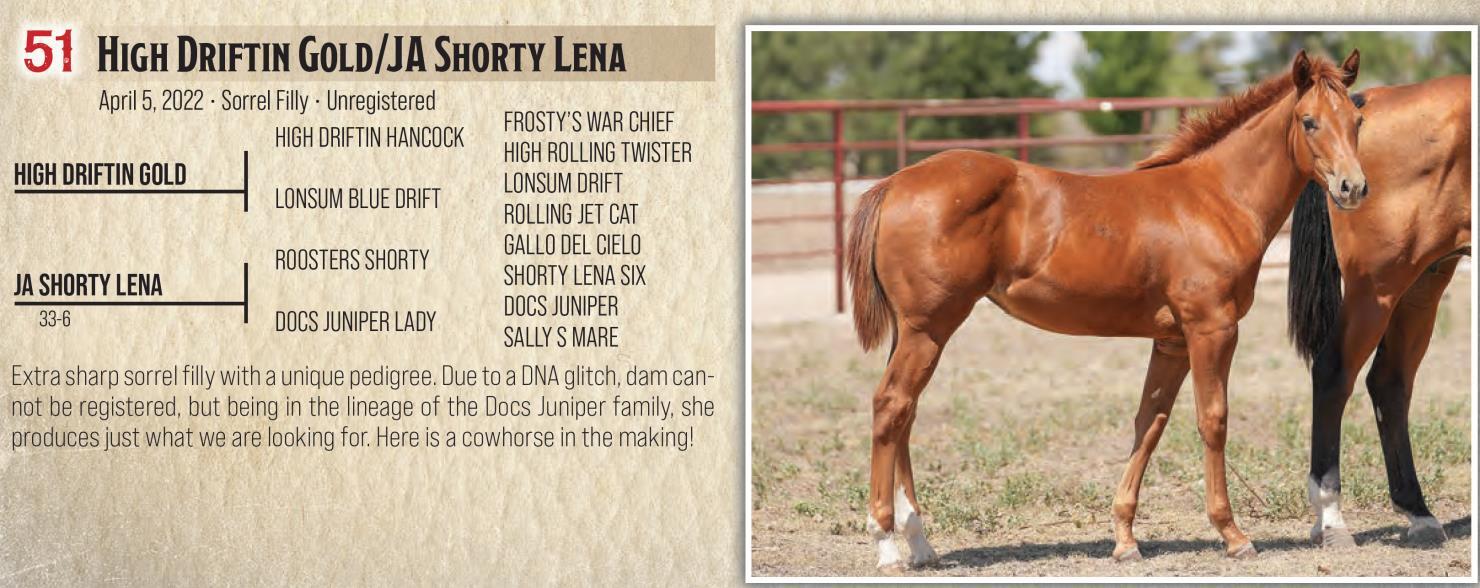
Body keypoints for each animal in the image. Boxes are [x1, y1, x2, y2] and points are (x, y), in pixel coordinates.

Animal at [845, 50, 1366, 571]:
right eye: (1309, 121)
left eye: (1357, 120)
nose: (1353, 187)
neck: (1216, 198)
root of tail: (893, 184)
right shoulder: (1211, 329)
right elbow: (1212, 420)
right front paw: (1233, 534)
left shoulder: (1172, 341)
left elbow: (1149, 423)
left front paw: (1124, 538)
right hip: (929, 329)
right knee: (891, 406)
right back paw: (887, 544)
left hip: (914, 333)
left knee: (905, 413)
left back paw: (919, 544)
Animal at [1286, 74, 1471, 549]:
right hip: (1379, 287)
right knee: (1334, 372)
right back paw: (1331, 518)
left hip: (1421, 283)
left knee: (1389, 381)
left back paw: (1418, 513)